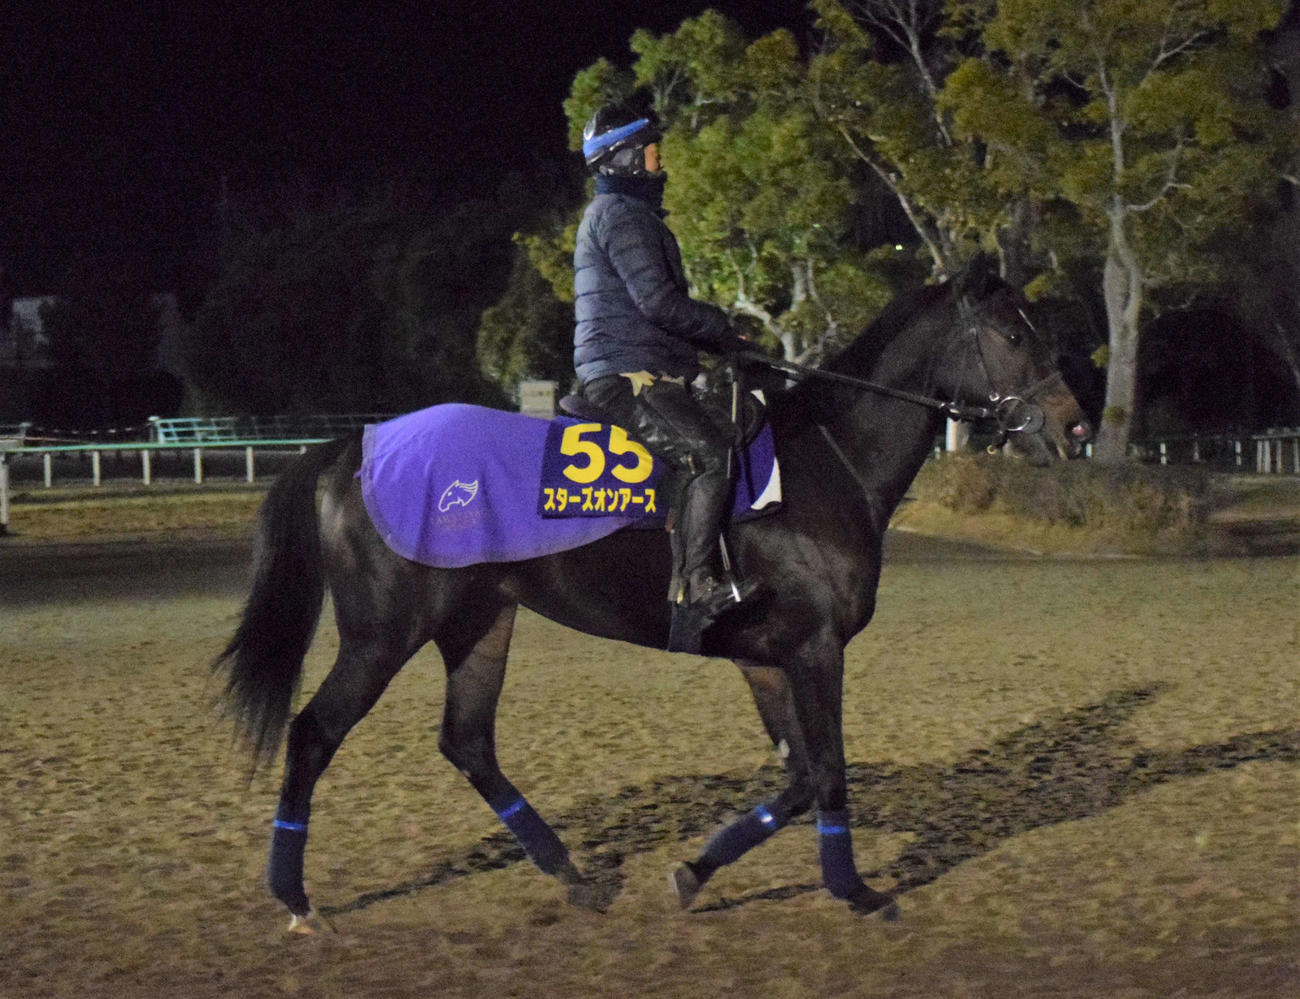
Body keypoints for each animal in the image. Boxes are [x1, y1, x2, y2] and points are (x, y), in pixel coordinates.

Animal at [215, 259, 1092, 930]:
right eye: (1014, 335)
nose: (1076, 429)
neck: (823, 462)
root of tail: (352, 445)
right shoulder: (815, 651)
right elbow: (831, 771)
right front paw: (856, 890)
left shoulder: (766, 658)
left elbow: (802, 778)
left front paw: (694, 872)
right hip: (382, 633)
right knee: (314, 733)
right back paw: (296, 898)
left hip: (481, 621)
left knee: (468, 743)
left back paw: (573, 877)